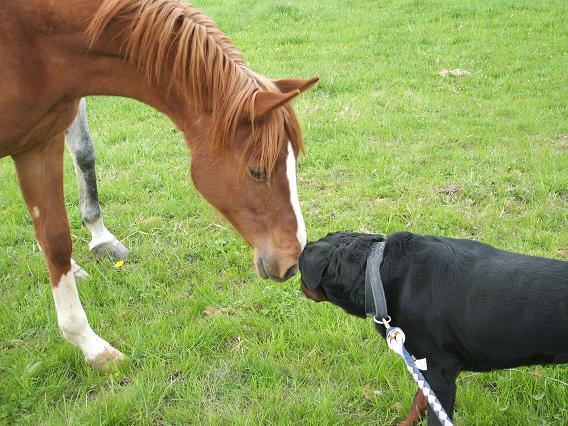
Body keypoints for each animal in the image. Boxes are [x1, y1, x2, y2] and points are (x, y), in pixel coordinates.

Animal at [0, 0, 318, 368]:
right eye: (257, 171)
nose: (293, 259)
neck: (33, 39)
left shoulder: (40, 143)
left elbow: (55, 239)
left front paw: (89, 344)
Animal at [299, 231, 568, 425]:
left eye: (301, 272)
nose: (299, 285)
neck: (374, 275)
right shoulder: (424, 365)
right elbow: (419, 402)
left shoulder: (440, 372)